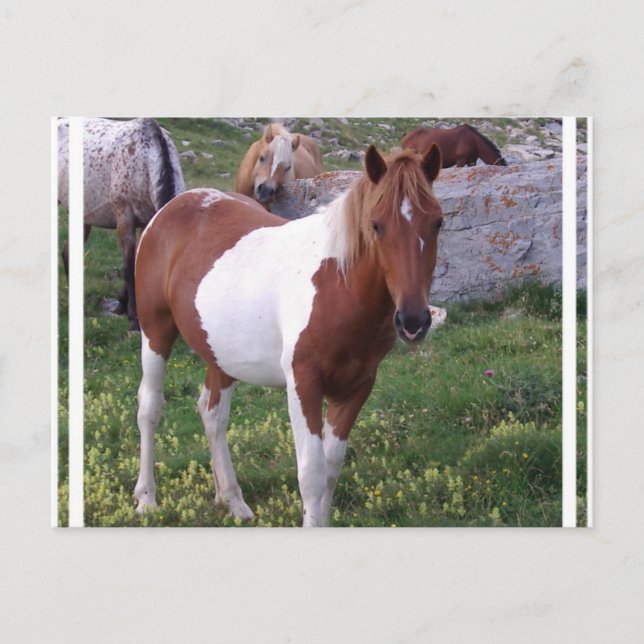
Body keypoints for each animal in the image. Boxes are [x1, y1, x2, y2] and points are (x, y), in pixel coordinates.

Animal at [58, 117, 185, 331]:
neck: (145, 162)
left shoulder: (147, 221)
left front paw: (121, 306)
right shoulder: (125, 218)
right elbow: (128, 266)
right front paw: (133, 318)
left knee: (68, 252)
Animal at [134, 143, 443, 527]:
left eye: (438, 222)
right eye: (376, 225)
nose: (414, 321)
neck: (337, 284)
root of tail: (174, 206)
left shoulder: (357, 385)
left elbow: (331, 468)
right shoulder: (303, 383)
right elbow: (311, 473)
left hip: (221, 354)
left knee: (212, 415)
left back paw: (232, 500)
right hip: (155, 332)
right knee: (149, 408)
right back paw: (147, 499)